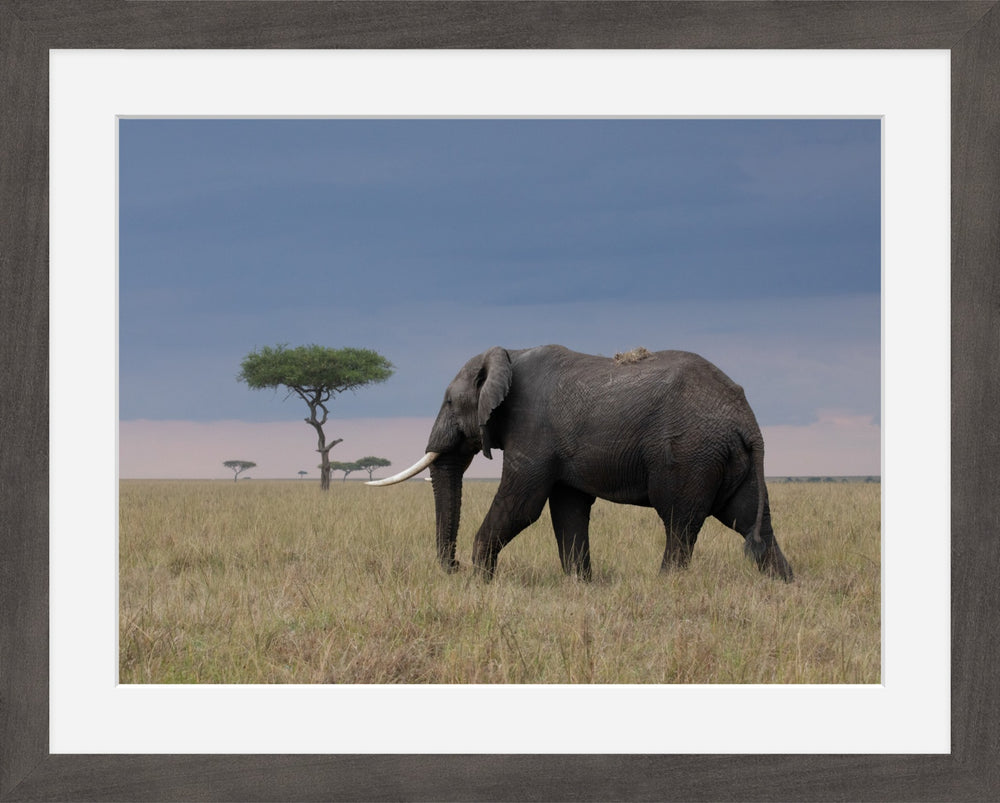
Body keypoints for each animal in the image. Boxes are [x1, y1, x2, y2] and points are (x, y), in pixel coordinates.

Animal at [369, 344, 793, 583]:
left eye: (448, 402)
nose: (454, 567)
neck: (508, 353)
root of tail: (747, 421)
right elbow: (568, 509)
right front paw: (580, 583)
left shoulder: (532, 429)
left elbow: (521, 506)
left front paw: (480, 582)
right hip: (727, 458)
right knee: (750, 521)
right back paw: (783, 585)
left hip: (690, 454)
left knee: (679, 523)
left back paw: (667, 586)